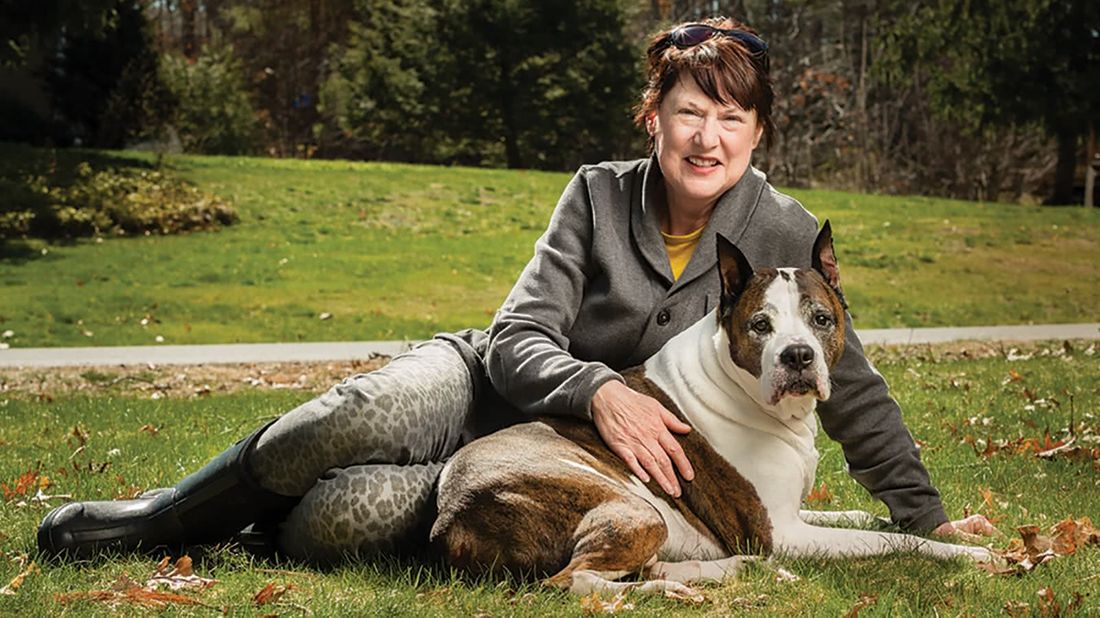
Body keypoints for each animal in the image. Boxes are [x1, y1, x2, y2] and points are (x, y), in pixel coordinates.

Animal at [426, 221, 990, 593]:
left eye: (821, 318)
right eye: (760, 325)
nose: (798, 355)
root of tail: (446, 518)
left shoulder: (789, 516)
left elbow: (860, 518)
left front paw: (908, 520)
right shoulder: (782, 534)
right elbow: (892, 543)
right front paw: (966, 553)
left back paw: (728, 569)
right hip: (635, 509)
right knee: (573, 582)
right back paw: (671, 589)